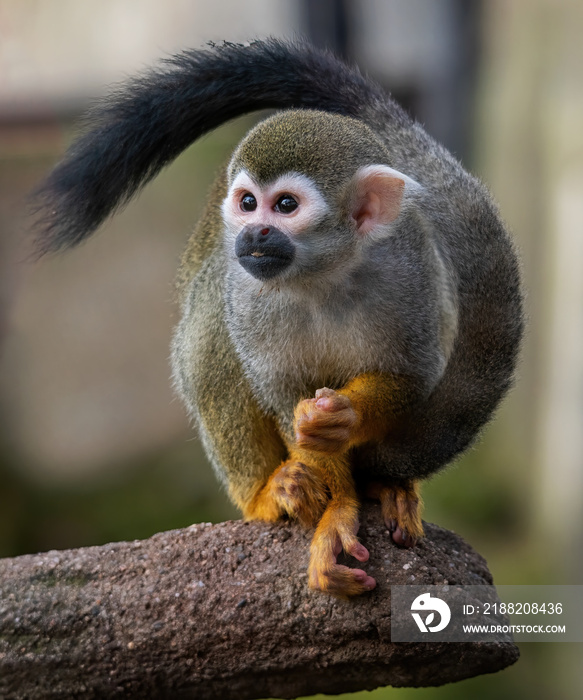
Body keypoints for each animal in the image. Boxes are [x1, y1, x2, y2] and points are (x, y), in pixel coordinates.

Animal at [30, 38, 524, 596]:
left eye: (285, 205)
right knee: (210, 323)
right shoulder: (250, 296)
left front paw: (344, 417)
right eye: (248, 203)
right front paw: (338, 510)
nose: (254, 233)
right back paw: (267, 495)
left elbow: (409, 375)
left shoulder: (408, 270)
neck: (322, 277)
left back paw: (386, 481)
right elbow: (282, 391)